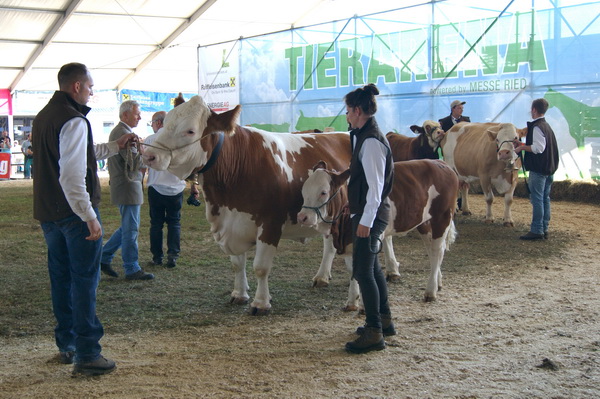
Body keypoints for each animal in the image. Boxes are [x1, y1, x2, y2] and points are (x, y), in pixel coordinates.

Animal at [143, 96, 352, 316]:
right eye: (165, 122)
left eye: (190, 130)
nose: (148, 155)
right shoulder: (231, 225)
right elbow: (237, 263)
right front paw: (239, 294)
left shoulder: (270, 224)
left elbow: (260, 267)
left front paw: (261, 303)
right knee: (329, 244)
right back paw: (322, 277)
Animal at [298, 159, 460, 306]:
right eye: (303, 190)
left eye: (323, 192)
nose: (302, 217)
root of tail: (440, 163)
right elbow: (352, 268)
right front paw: (352, 301)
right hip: (424, 223)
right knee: (433, 251)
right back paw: (438, 283)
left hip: (442, 218)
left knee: (437, 252)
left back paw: (430, 291)